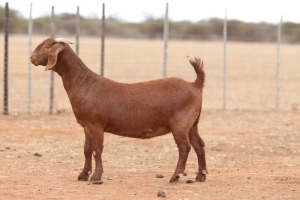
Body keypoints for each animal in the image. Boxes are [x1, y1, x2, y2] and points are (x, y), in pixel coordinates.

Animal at [30, 36, 207, 184]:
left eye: (47, 46)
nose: (31, 58)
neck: (85, 83)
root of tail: (195, 84)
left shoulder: (96, 125)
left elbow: (97, 150)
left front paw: (96, 177)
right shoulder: (86, 126)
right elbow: (87, 150)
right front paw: (83, 175)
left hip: (180, 123)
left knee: (184, 147)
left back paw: (175, 176)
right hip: (192, 123)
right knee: (199, 145)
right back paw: (201, 175)